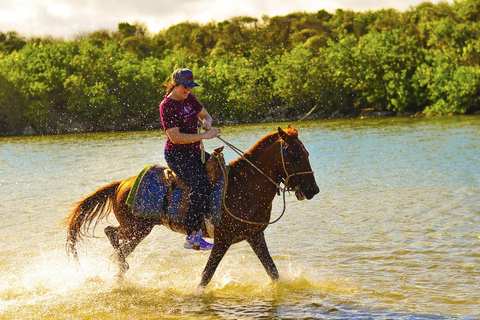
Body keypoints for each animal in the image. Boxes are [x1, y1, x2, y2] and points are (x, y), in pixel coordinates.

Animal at [62, 126, 318, 288]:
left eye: (306, 152)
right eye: (295, 155)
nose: (313, 190)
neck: (244, 186)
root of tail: (121, 184)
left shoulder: (255, 236)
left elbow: (273, 272)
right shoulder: (223, 240)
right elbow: (206, 276)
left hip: (139, 232)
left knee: (118, 249)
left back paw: (118, 270)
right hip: (137, 228)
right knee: (111, 234)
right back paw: (121, 265)